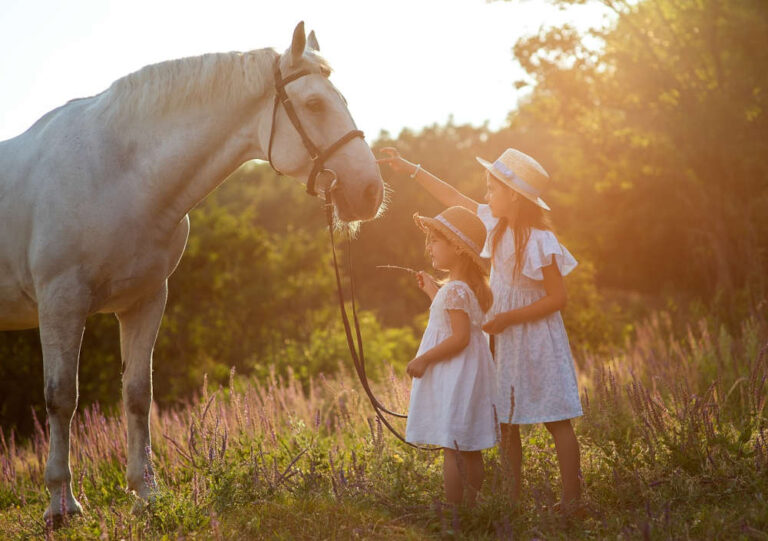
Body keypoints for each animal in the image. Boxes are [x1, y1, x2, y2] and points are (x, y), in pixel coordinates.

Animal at [0, 22, 382, 520]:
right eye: (315, 104)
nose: (371, 191)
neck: (118, 172)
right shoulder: (61, 302)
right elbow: (62, 396)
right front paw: (62, 504)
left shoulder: (145, 301)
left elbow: (138, 394)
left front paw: (146, 493)